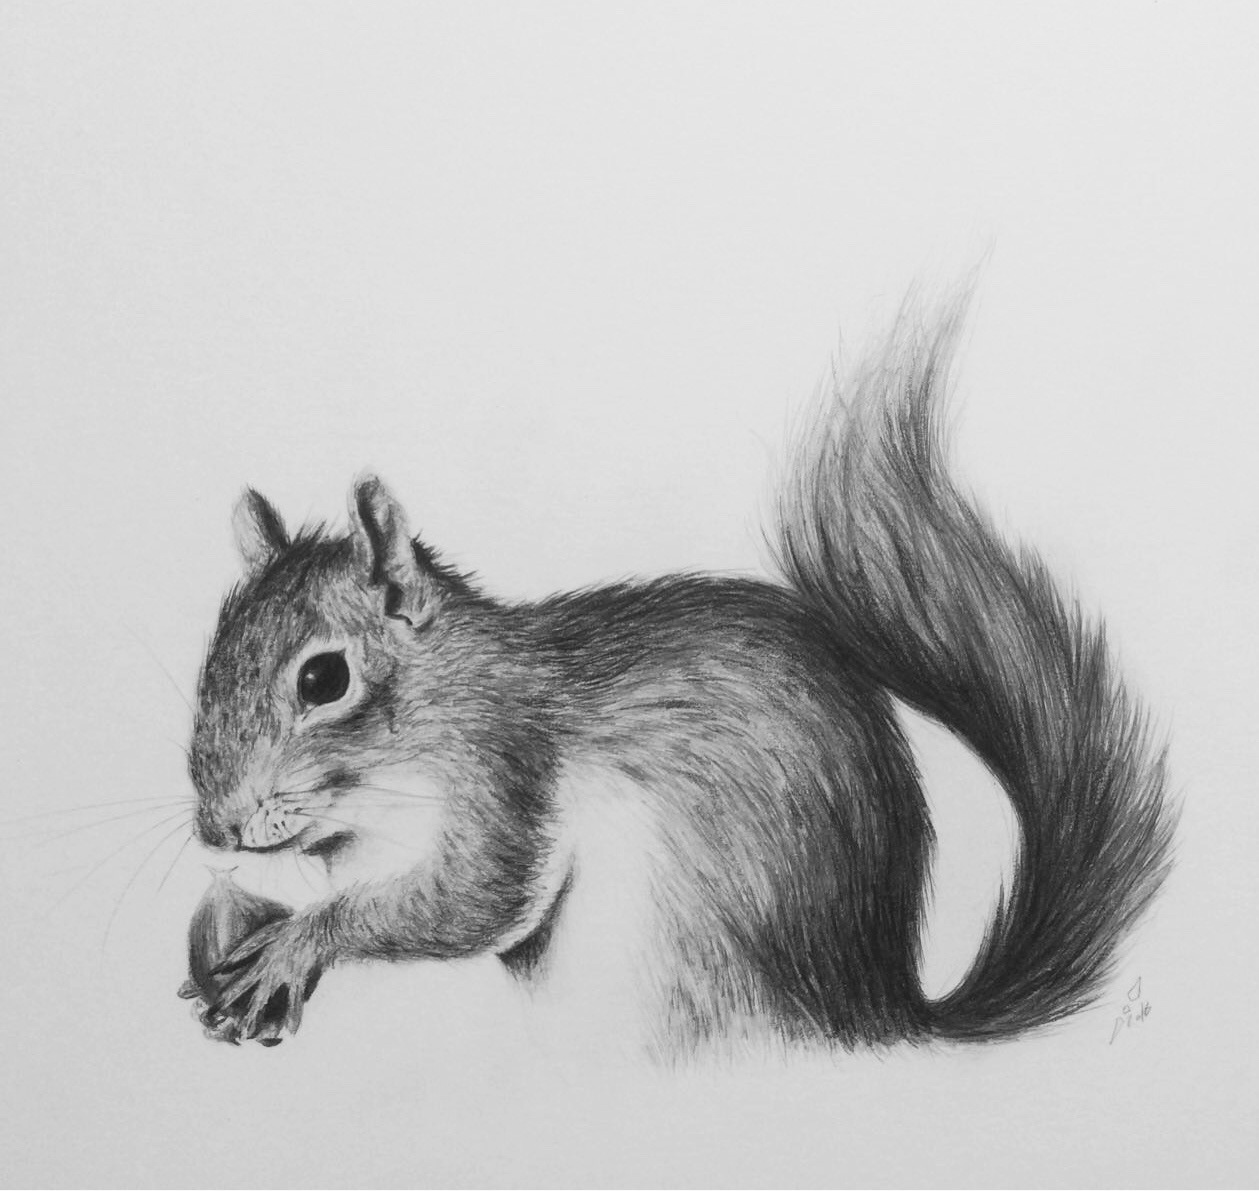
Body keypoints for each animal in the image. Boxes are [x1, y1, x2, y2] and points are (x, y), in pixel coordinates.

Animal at [186, 294, 1174, 1055]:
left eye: (324, 680)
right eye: (212, 655)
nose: (217, 827)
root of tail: (877, 1010)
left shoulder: (505, 775)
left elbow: (476, 900)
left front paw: (295, 945)